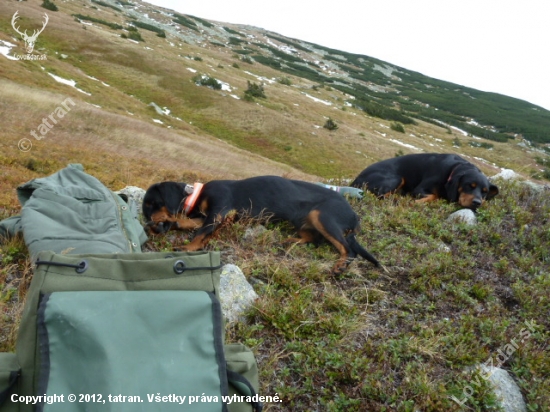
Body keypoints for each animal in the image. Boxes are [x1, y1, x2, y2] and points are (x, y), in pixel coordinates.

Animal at [354, 153, 500, 209]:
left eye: (485, 192)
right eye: (470, 185)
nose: (477, 203)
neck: (453, 169)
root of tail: (356, 179)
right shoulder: (419, 189)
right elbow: (433, 196)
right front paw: (415, 202)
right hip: (397, 178)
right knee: (380, 194)